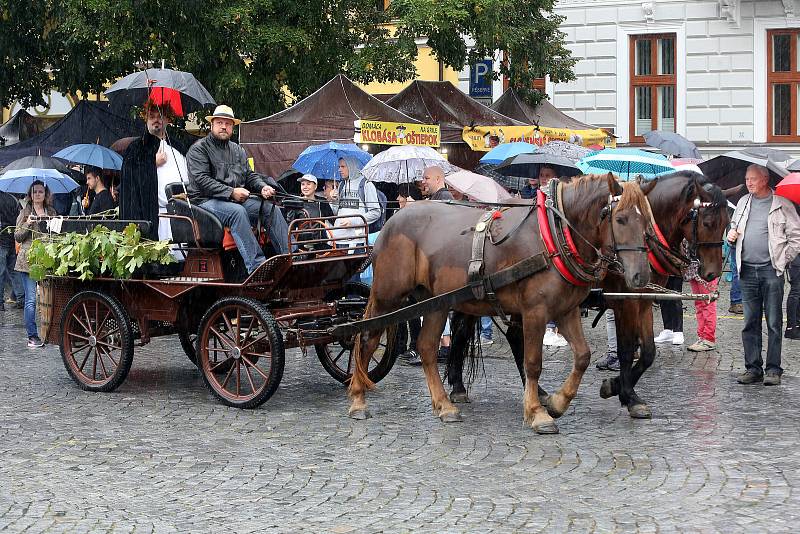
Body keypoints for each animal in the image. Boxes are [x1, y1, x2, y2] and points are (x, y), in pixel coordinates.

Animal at [346, 176, 652, 436]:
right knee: (367, 338)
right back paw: (358, 398)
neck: (554, 236)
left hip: (435, 303)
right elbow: (533, 362)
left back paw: (444, 405)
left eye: (647, 223)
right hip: (388, 296)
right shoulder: (535, 312)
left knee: (427, 348)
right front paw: (537, 413)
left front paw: (557, 402)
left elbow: (583, 356)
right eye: (620, 219)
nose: (641, 276)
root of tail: (392, 221)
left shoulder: (566, 311)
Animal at [446, 174, 736, 420]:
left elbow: (648, 353)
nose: (712, 273)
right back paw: (459, 386)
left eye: (727, 223)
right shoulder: (624, 301)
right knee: (464, 331)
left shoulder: (644, 299)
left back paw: (533, 392)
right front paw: (626, 394)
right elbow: (626, 349)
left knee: (510, 337)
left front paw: (617, 386)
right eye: (707, 222)